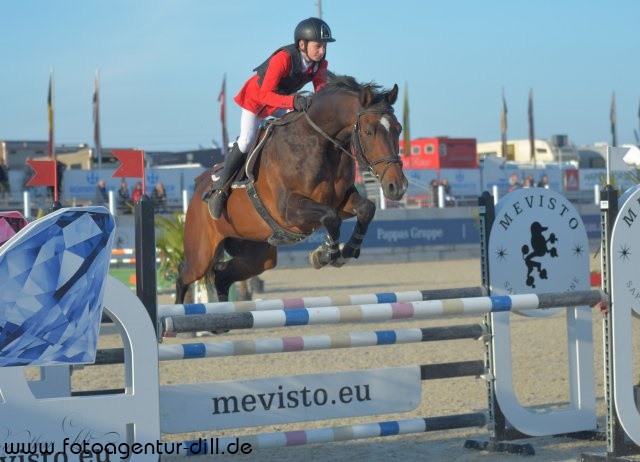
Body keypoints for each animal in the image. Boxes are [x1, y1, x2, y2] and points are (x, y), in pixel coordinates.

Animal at [176, 73, 404, 304]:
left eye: (399, 129)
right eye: (368, 132)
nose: (397, 187)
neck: (319, 143)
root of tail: (198, 186)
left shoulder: (340, 201)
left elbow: (365, 209)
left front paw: (347, 249)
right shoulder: (288, 209)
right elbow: (331, 217)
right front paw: (326, 254)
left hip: (256, 255)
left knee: (222, 277)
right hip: (201, 254)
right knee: (184, 275)